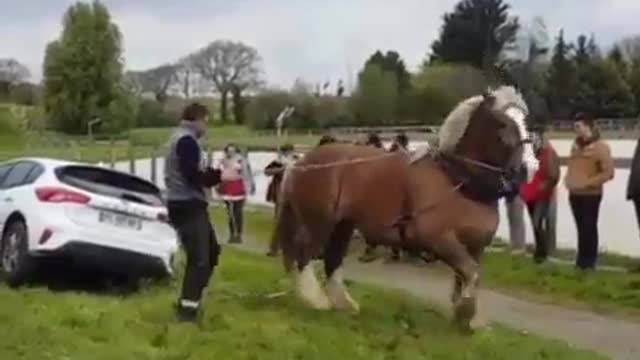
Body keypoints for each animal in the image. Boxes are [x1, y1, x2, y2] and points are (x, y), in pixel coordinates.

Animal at [272, 86, 536, 330]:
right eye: (502, 124)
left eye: (525, 120)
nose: (529, 169)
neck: (458, 180)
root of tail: (301, 162)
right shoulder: (439, 240)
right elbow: (471, 273)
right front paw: (465, 312)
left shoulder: (475, 246)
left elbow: (466, 277)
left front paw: (465, 316)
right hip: (318, 221)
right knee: (304, 255)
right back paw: (315, 300)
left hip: (342, 225)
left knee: (332, 259)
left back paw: (343, 303)